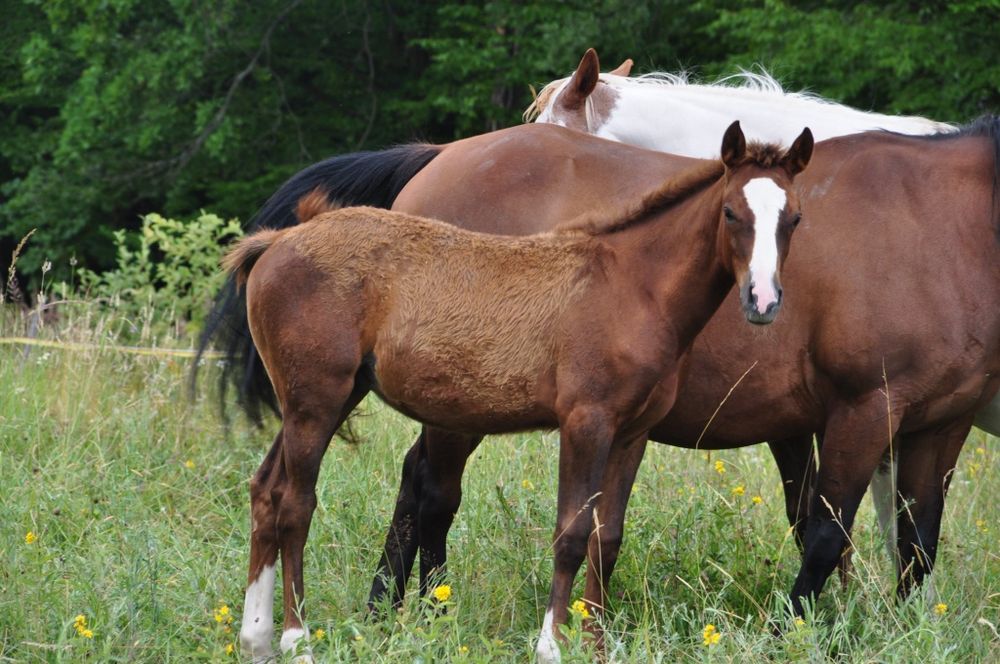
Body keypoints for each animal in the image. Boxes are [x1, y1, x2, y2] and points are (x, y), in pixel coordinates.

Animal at [225, 122, 814, 662]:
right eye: (731, 214)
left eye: (794, 219)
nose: (763, 301)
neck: (632, 286)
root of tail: (278, 241)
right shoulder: (585, 422)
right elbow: (571, 533)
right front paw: (551, 645)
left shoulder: (632, 433)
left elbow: (607, 538)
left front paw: (597, 646)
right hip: (316, 399)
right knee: (296, 502)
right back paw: (296, 639)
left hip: (326, 398)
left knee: (265, 489)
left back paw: (255, 638)